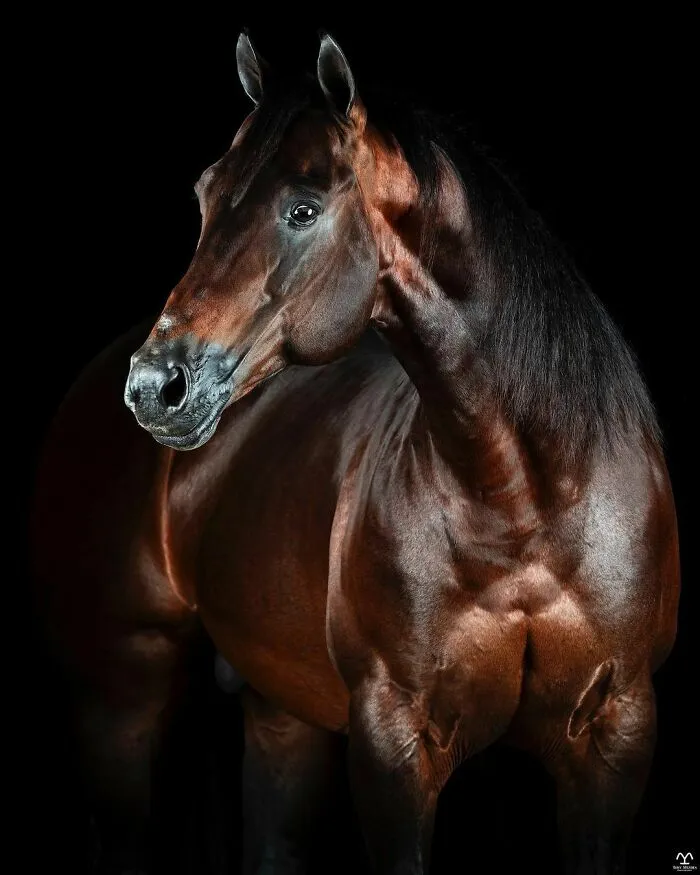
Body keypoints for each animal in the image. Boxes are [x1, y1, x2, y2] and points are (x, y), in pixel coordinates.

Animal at [31, 32, 680, 875]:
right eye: (205, 194)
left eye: (302, 209)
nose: (156, 387)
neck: (526, 502)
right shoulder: (393, 746)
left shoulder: (613, 740)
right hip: (122, 696)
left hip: (282, 715)